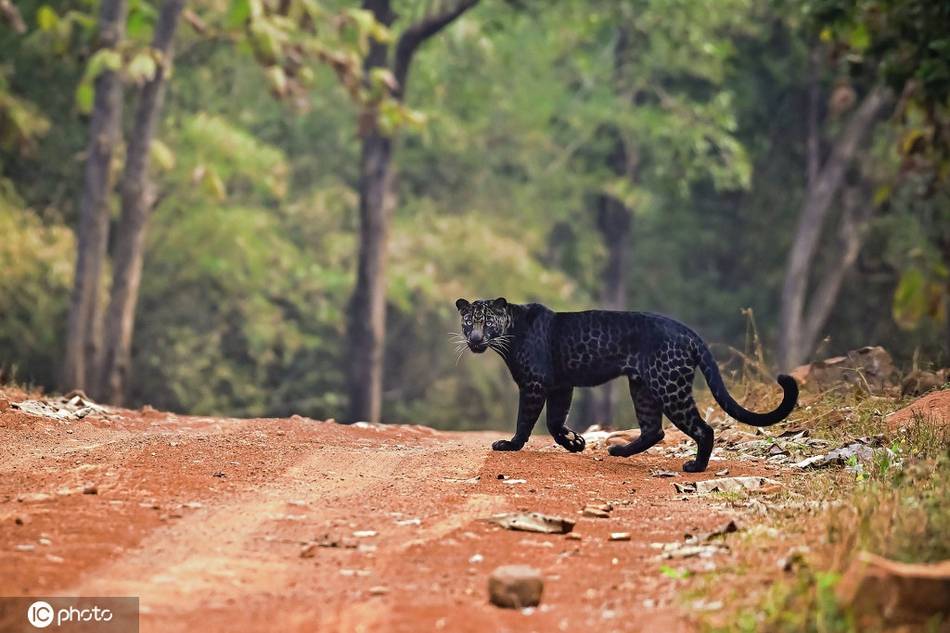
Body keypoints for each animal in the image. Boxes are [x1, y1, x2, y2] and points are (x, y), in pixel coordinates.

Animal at [458, 296, 800, 470]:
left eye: (487, 322)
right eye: (467, 322)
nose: (474, 339)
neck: (510, 333)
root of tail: (687, 331)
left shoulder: (534, 384)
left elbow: (527, 420)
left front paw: (510, 445)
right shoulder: (560, 385)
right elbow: (555, 422)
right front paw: (575, 442)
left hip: (669, 386)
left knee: (703, 429)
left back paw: (695, 467)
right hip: (643, 387)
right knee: (654, 429)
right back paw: (620, 452)